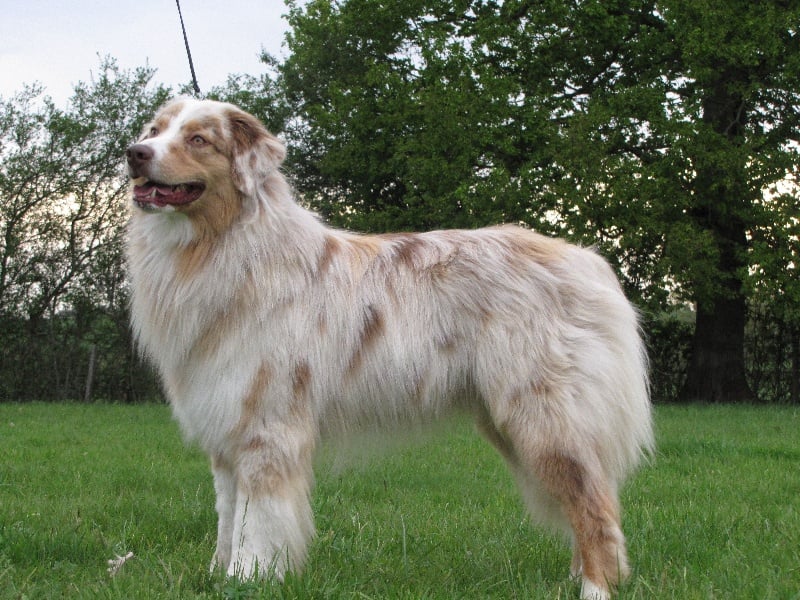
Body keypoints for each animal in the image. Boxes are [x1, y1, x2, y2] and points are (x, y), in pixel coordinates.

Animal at [123, 96, 648, 596]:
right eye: (155, 130)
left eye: (198, 139)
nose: (135, 153)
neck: (218, 246)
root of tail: (586, 261)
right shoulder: (226, 424)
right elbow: (228, 518)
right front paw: (218, 577)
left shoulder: (266, 429)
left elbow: (258, 523)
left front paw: (249, 580)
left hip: (545, 419)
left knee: (595, 508)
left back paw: (595, 588)